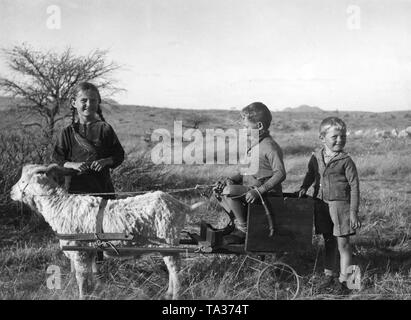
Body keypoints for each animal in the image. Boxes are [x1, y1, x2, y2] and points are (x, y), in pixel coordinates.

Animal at [10, 165, 203, 300]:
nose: (11, 192)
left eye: (22, 181)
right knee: (171, 268)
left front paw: (83, 295)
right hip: (167, 243)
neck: (61, 206)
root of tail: (179, 204)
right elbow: (89, 276)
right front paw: (94, 291)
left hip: (169, 237)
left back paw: (175, 295)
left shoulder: (79, 251)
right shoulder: (88, 250)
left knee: (175, 269)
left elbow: (81, 278)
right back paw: (168, 293)